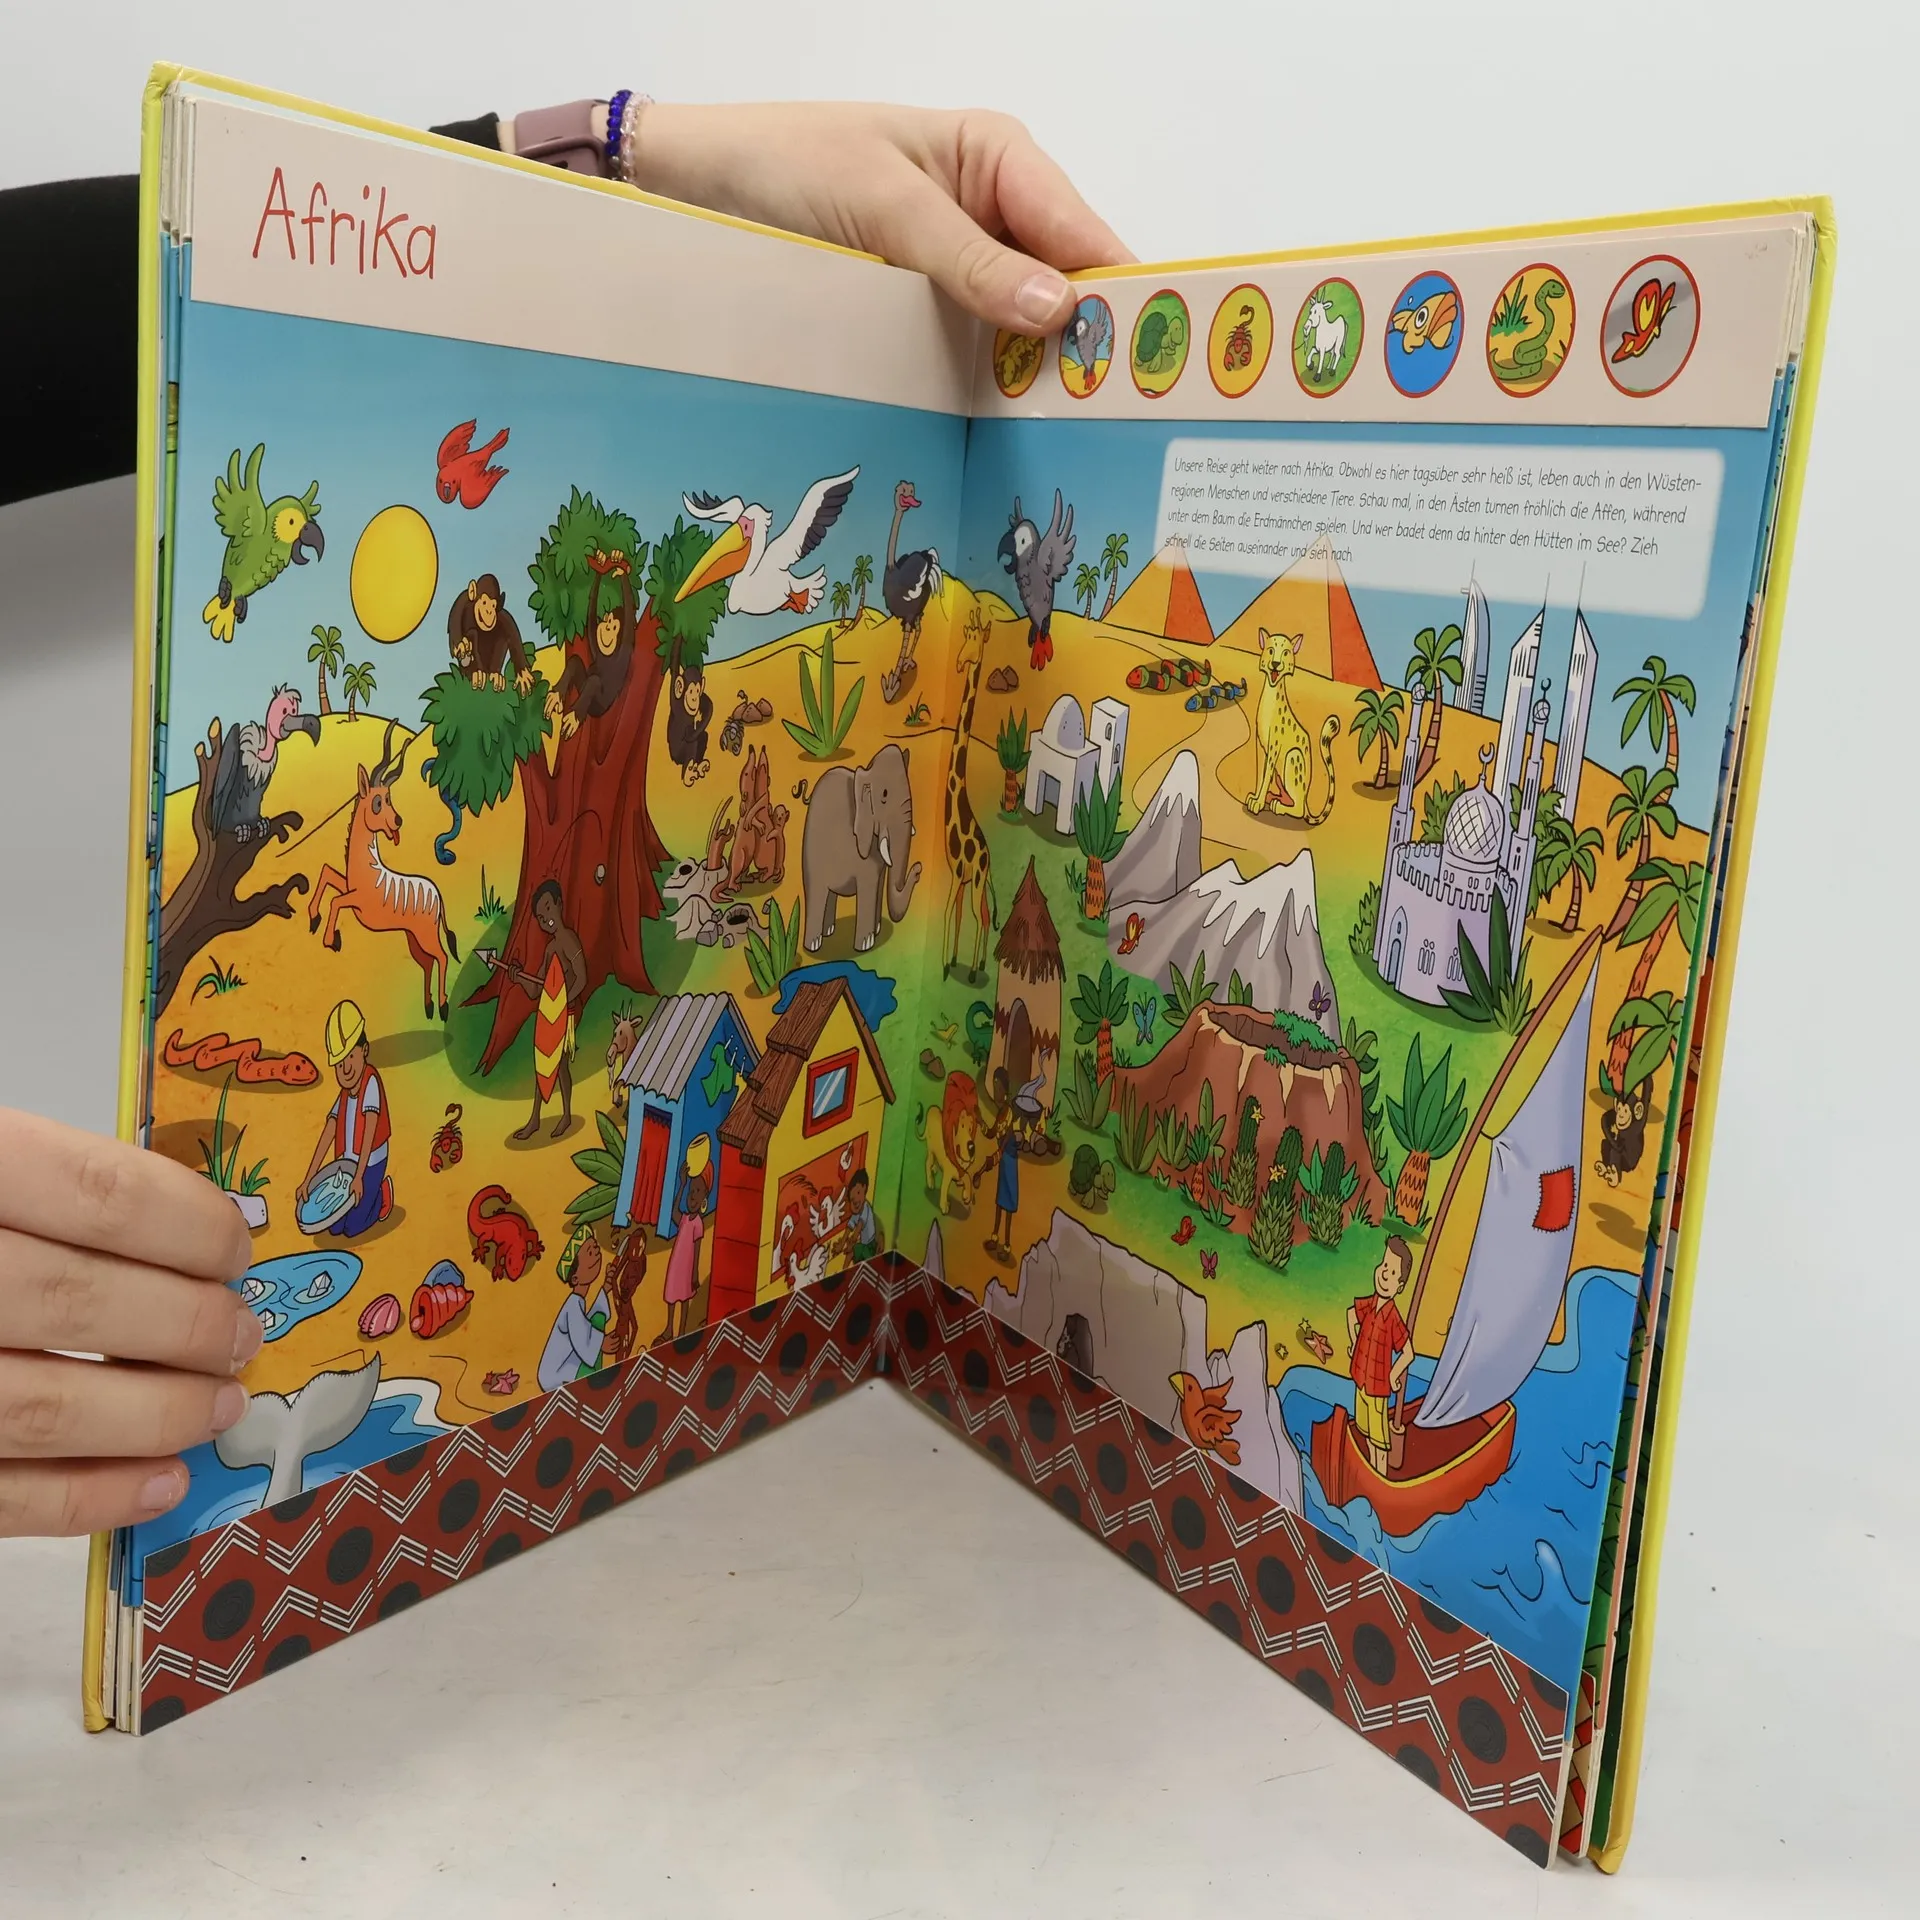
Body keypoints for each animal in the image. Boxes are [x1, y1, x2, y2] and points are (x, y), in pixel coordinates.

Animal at [309, 720, 459, 1019]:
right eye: (379, 802)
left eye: (390, 798)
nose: (399, 821)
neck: (367, 867)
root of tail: (438, 895)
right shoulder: (348, 887)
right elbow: (327, 874)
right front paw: (313, 919)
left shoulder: (359, 902)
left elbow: (335, 900)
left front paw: (332, 940)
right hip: (413, 937)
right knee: (428, 963)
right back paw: (427, 1006)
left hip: (426, 934)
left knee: (442, 957)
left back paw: (443, 1006)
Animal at [799, 742, 922, 954]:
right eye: (884, 795)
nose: (919, 869)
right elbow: (868, 883)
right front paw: (866, 945)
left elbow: (879, 881)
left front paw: (877, 930)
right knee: (817, 889)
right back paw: (814, 944)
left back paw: (828, 931)